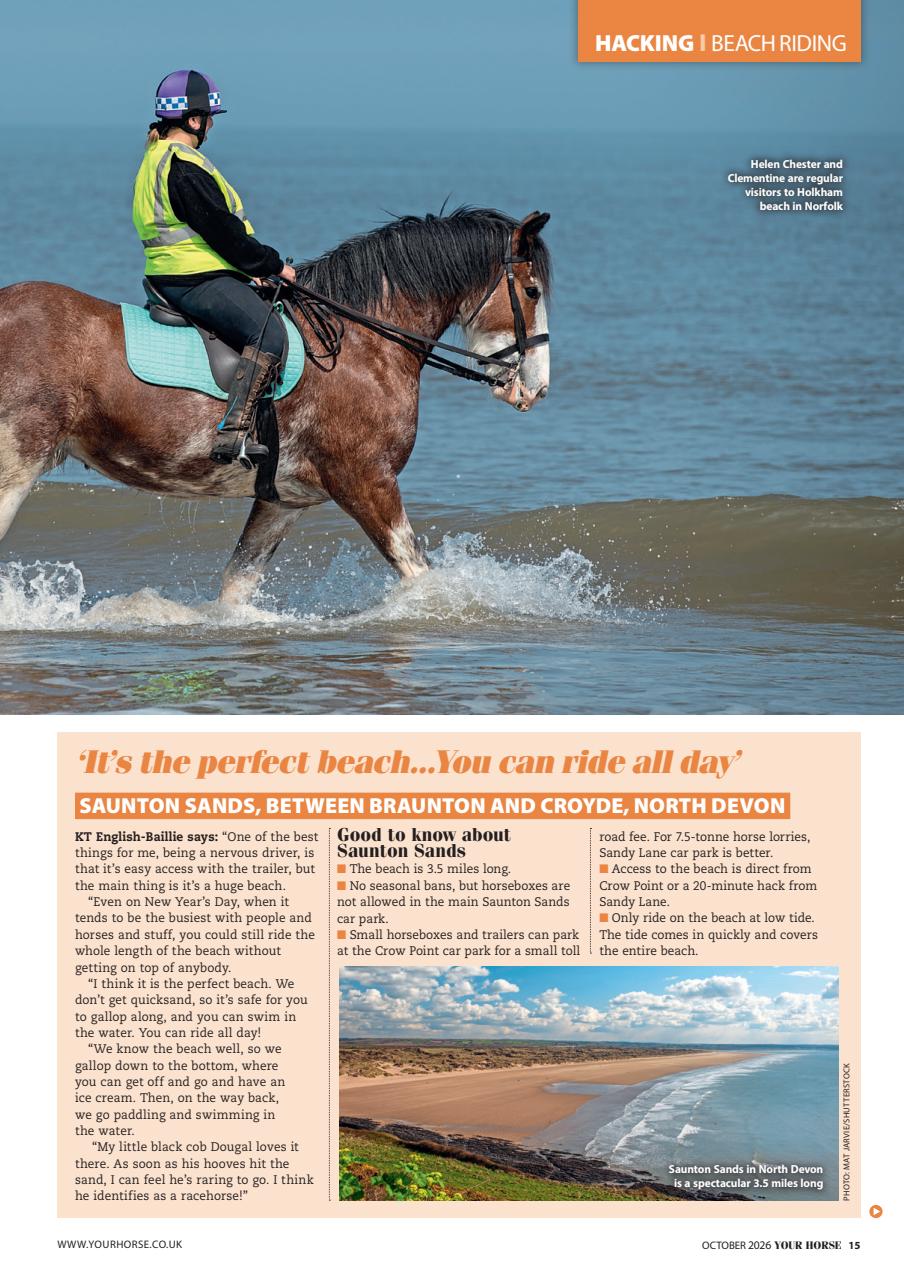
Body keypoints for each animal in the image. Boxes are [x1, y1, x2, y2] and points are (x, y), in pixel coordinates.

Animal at [0, 207, 551, 606]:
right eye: (531, 290)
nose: (536, 388)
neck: (362, 344)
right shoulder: (365, 480)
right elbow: (417, 574)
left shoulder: (284, 498)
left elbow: (237, 585)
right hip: (16, 464)